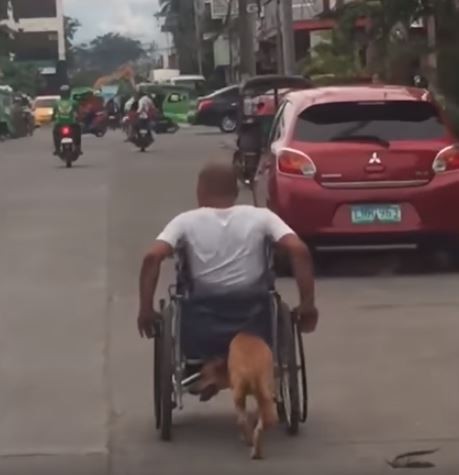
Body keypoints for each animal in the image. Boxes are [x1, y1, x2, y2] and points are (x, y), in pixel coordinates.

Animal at [197, 332, 276, 460]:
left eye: (203, 375)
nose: (190, 389)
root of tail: (253, 365)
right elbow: (257, 414)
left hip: (239, 395)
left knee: (241, 420)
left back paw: (248, 439)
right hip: (266, 390)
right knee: (263, 423)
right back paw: (256, 448)